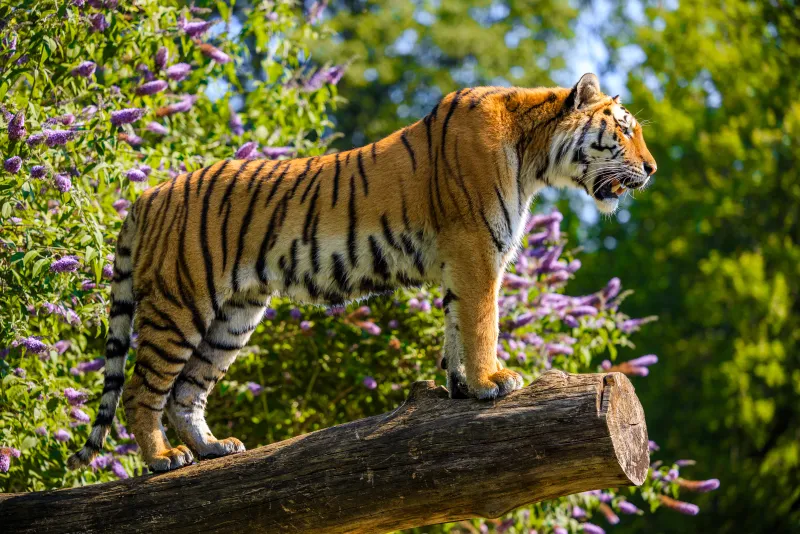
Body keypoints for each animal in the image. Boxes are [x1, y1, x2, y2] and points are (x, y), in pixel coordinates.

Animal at [68, 73, 656, 472]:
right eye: (624, 131)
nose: (651, 168)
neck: (535, 156)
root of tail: (147, 196)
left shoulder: (460, 261)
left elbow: (456, 326)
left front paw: (463, 388)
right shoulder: (476, 252)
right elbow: (482, 323)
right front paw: (493, 381)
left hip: (233, 316)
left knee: (186, 392)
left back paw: (213, 448)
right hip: (181, 303)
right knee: (141, 390)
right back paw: (164, 458)